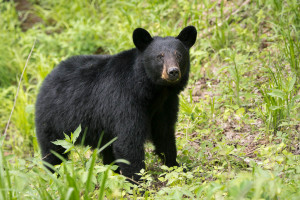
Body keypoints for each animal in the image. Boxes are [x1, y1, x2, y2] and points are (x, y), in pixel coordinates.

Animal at [35, 25, 197, 181]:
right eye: (159, 56)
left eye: (179, 55)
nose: (173, 71)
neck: (153, 91)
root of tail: (47, 79)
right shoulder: (124, 102)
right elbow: (128, 142)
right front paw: (138, 182)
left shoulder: (166, 104)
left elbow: (164, 135)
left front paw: (177, 167)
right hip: (54, 121)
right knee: (53, 153)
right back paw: (55, 176)